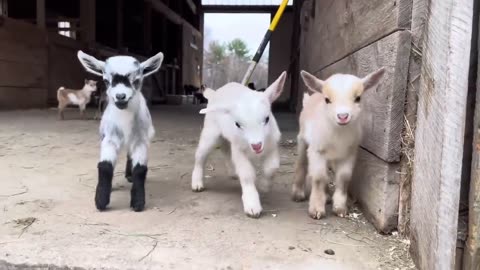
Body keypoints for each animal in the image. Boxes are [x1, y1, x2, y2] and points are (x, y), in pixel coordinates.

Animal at [76, 50, 163, 211]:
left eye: (137, 80)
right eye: (106, 80)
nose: (121, 96)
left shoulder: (141, 139)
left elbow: (140, 169)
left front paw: (138, 202)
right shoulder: (109, 137)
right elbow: (105, 166)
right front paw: (101, 200)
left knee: (129, 154)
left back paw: (129, 175)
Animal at [191, 71, 286, 217]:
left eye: (267, 119)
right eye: (237, 124)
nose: (256, 145)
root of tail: (214, 94)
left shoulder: (272, 146)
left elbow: (272, 168)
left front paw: (264, 186)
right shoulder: (240, 151)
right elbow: (247, 174)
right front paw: (252, 206)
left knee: (225, 149)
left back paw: (233, 172)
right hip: (210, 133)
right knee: (200, 155)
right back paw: (197, 184)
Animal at [292, 67, 386, 219]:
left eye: (358, 98)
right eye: (327, 99)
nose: (343, 116)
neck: (338, 134)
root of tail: (311, 97)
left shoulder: (349, 153)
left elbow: (344, 177)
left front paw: (340, 207)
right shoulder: (317, 150)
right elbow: (318, 177)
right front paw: (316, 209)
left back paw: (327, 196)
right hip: (302, 140)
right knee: (301, 164)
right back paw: (298, 193)